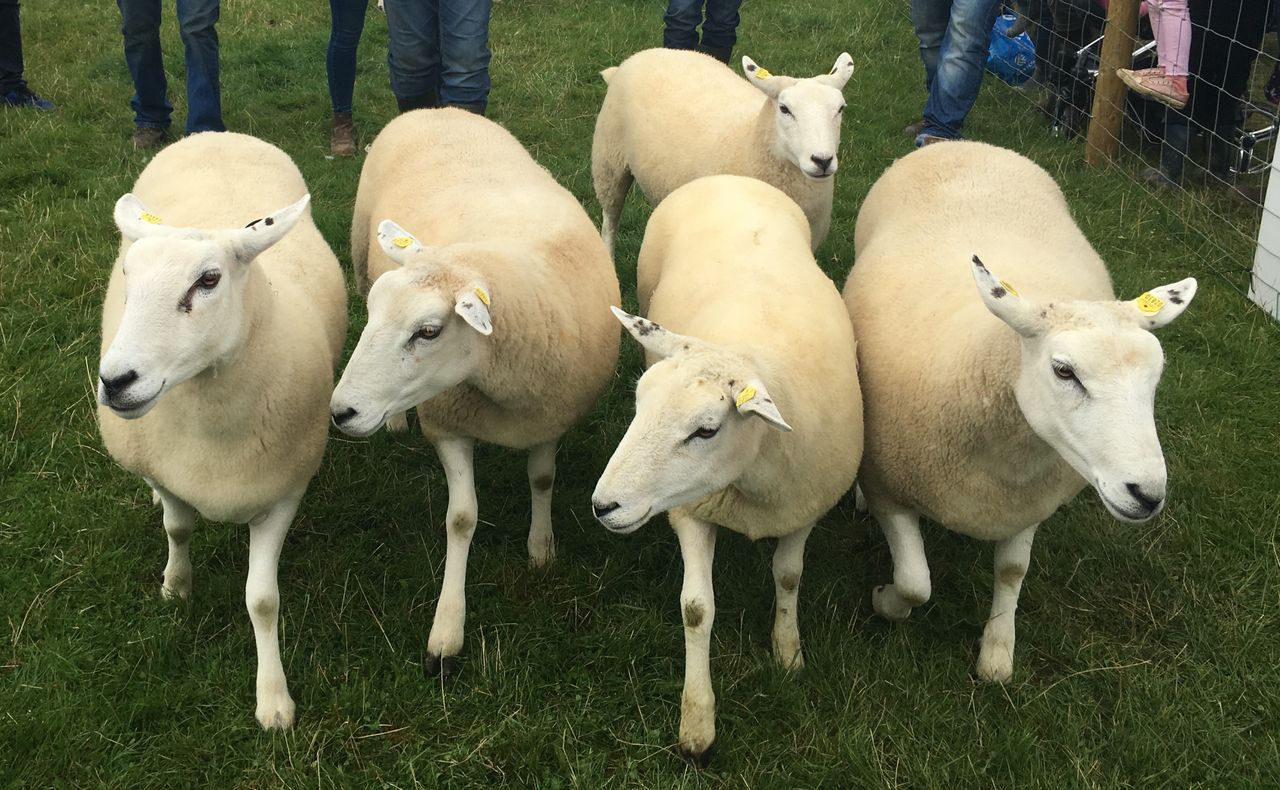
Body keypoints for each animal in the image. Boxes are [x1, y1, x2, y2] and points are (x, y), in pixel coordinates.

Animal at [96, 132, 348, 730]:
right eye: (128, 278)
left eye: (208, 280)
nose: (116, 382)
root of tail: (214, 133)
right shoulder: (170, 473)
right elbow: (177, 528)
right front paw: (176, 586)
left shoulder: (281, 492)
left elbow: (262, 599)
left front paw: (273, 698)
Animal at [331, 109, 621, 675]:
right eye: (374, 312)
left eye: (428, 331)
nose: (340, 411)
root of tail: (434, 109)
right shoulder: (447, 423)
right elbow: (462, 518)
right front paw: (446, 632)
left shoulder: (548, 414)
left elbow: (542, 480)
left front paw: (540, 549)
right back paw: (394, 421)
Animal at [591, 47, 854, 257]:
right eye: (784, 109)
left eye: (840, 108)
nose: (822, 160)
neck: (748, 140)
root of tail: (644, 54)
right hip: (608, 161)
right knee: (610, 219)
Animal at [591, 175, 862, 765]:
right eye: (639, 402)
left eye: (706, 430)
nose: (603, 506)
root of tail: (727, 175)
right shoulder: (691, 509)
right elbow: (696, 608)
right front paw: (698, 725)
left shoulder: (804, 506)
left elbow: (788, 576)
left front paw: (788, 653)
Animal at [843, 141, 1197, 683]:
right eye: (1064, 370)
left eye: (1156, 374)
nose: (1148, 495)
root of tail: (966, 144)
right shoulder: (892, 488)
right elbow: (916, 581)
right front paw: (885, 602)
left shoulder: (1027, 502)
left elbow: (1012, 571)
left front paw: (997, 650)